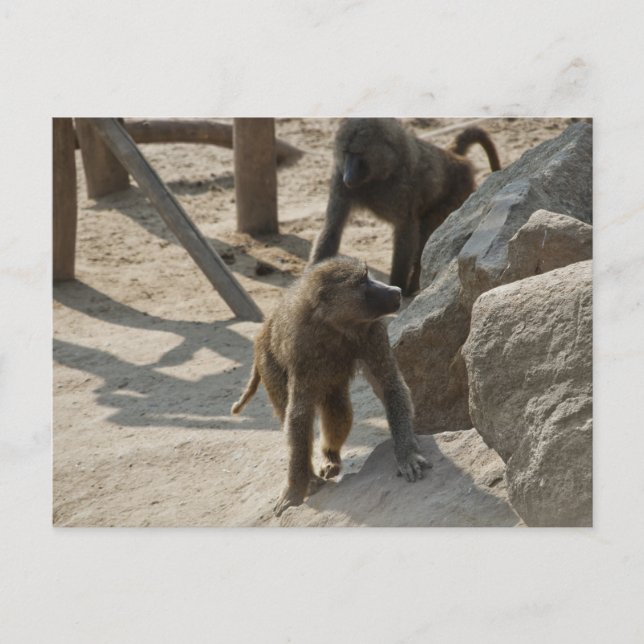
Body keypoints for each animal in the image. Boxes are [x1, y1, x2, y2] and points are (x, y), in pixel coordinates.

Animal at [231, 256, 429, 516]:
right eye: (363, 281)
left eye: (368, 275)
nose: (395, 290)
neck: (335, 325)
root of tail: (265, 326)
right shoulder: (303, 349)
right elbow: (299, 416)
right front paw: (294, 490)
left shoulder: (373, 332)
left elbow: (390, 386)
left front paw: (407, 454)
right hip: (267, 359)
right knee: (291, 412)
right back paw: (312, 478)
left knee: (338, 408)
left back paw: (330, 458)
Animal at [309, 118, 501, 296]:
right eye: (345, 152)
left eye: (358, 153)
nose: (348, 178)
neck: (382, 172)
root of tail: (453, 157)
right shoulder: (339, 179)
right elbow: (333, 227)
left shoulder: (403, 188)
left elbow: (406, 231)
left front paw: (398, 285)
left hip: (456, 197)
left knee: (427, 236)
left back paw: (414, 286)